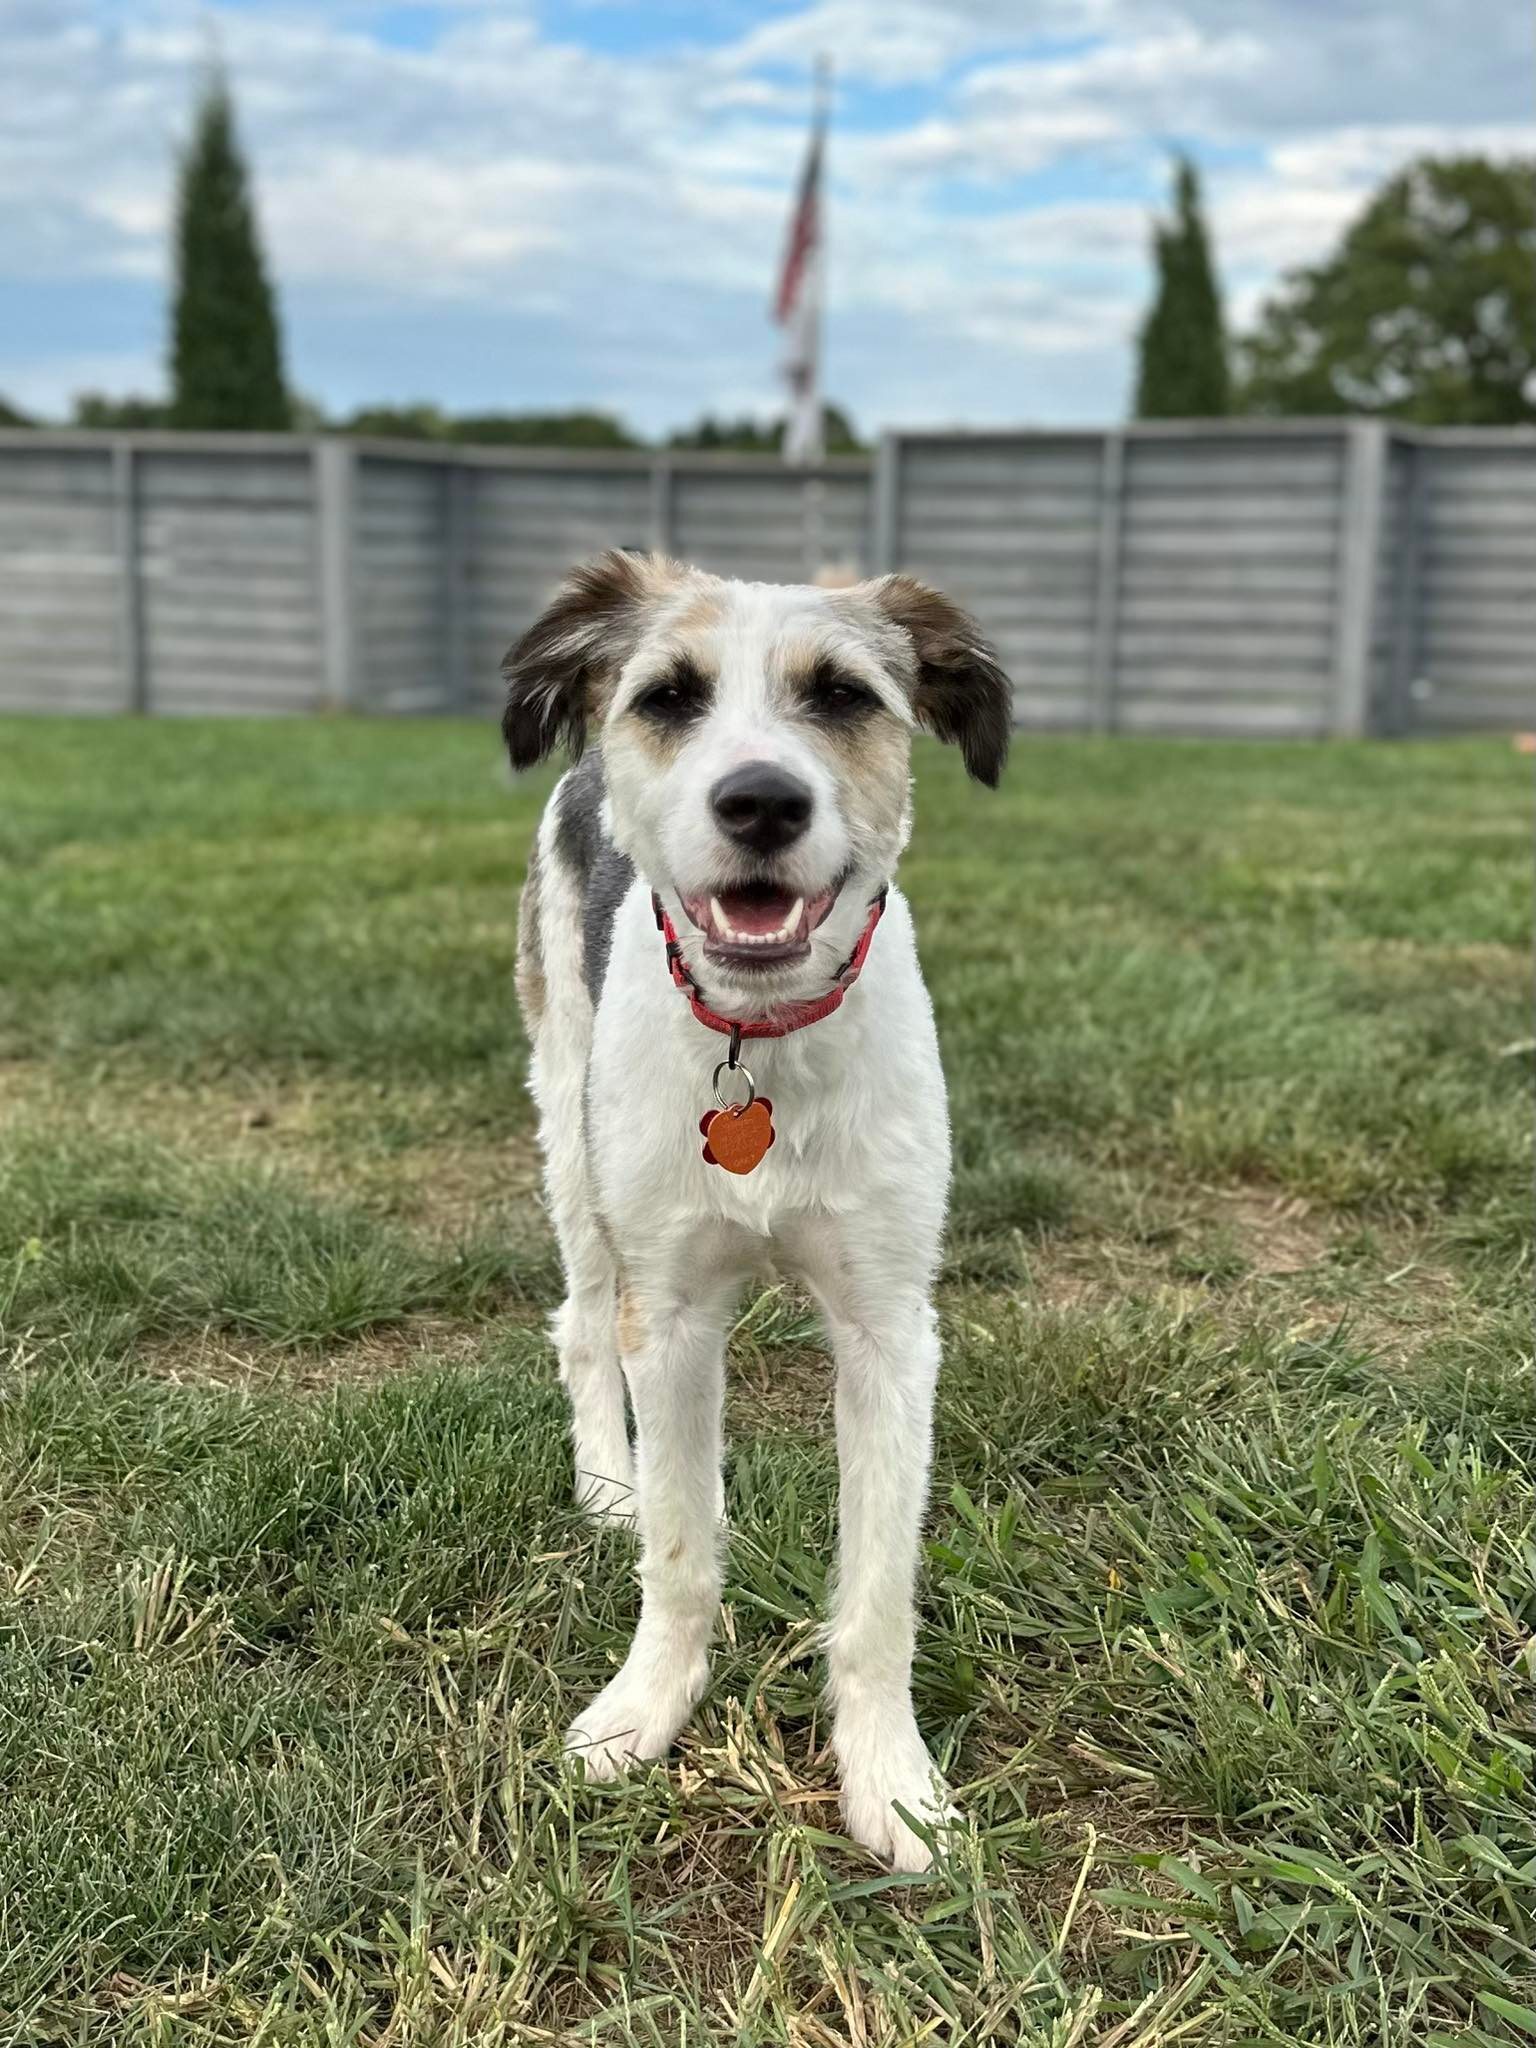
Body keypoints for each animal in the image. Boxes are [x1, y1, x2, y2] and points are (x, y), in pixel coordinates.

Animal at [501, 548, 1011, 1875]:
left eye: (841, 695)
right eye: (670, 696)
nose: (762, 803)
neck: (761, 1041)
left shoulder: (890, 1327)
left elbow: (876, 1592)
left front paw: (893, 1783)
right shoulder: (673, 1311)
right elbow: (680, 1552)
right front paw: (644, 1708)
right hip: (569, 1131)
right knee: (582, 1325)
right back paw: (608, 1486)